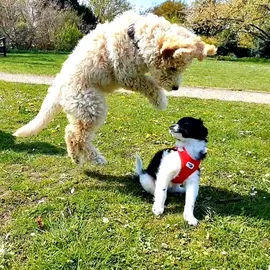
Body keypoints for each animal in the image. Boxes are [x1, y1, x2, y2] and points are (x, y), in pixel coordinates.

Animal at [13, 11, 216, 165]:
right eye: (172, 68)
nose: (175, 88)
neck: (135, 39)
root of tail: (58, 87)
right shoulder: (126, 74)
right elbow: (147, 83)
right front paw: (160, 100)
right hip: (91, 106)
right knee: (76, 135)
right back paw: (94, 159)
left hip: (80, 110)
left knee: (70, 132)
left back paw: (76, 158)